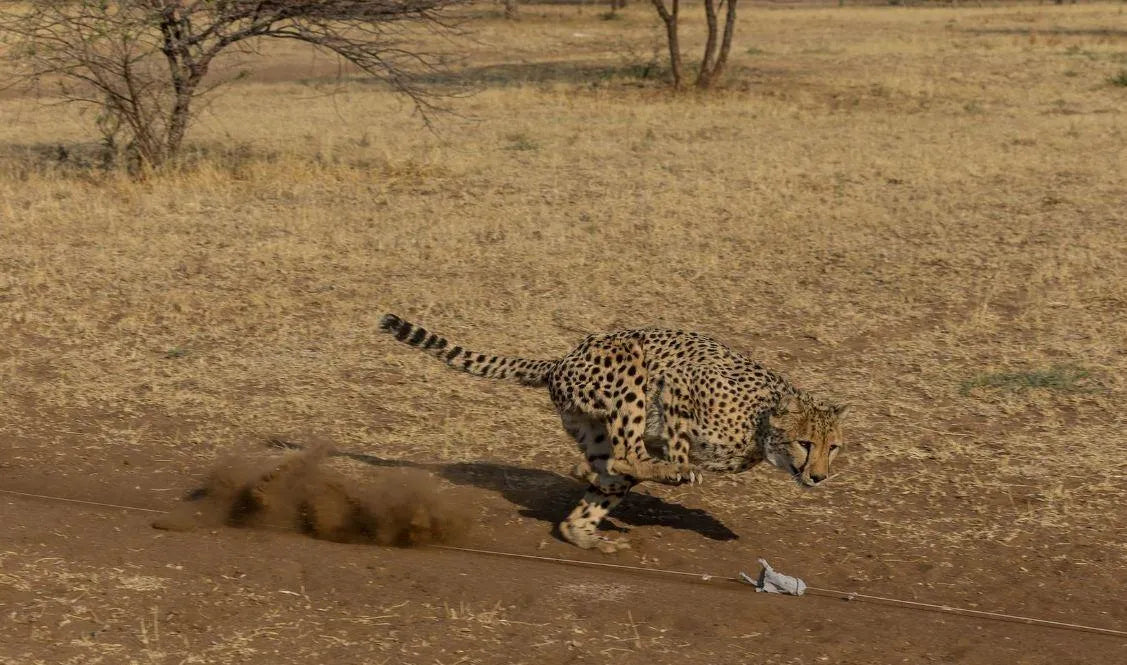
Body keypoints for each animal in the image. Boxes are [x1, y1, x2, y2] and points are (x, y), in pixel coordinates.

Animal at [378, 313, 849, 553]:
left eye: (834, 448)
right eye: (806, 443)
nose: (819, 477)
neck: (761, 426)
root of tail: (561, 360)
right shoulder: (679, 383)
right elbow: (678, 440)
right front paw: (680, 466)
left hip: (593, 425)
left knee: (609, 473)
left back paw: (584, 526)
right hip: (630, 364)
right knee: (625, 456)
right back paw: (657, 474)